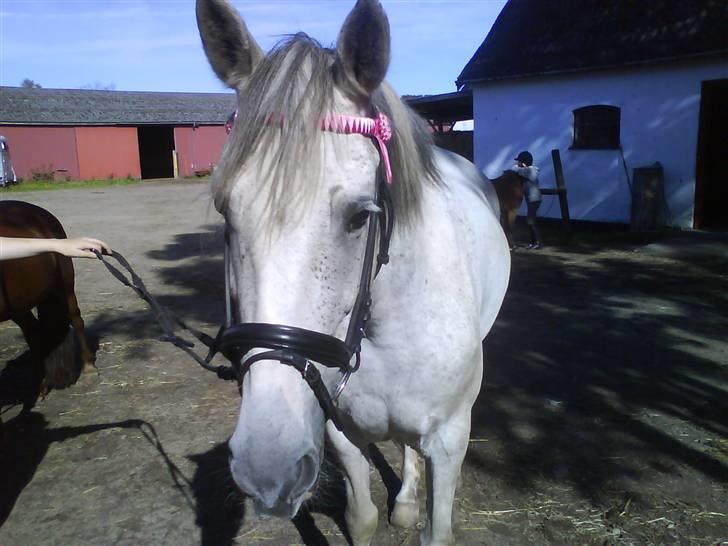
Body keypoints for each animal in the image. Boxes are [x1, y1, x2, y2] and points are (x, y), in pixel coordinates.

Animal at [0, 200, 96, 412]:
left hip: (64, 288)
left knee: (76, 320)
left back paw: (88, 367)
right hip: (19, 305)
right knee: (33, 333)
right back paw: (40, 386)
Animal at [196, 1, 510, 544]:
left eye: (361, 216)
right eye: (226, 212)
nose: (267, 467)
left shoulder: (450, 440)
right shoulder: (335, 431)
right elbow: (360, 519)